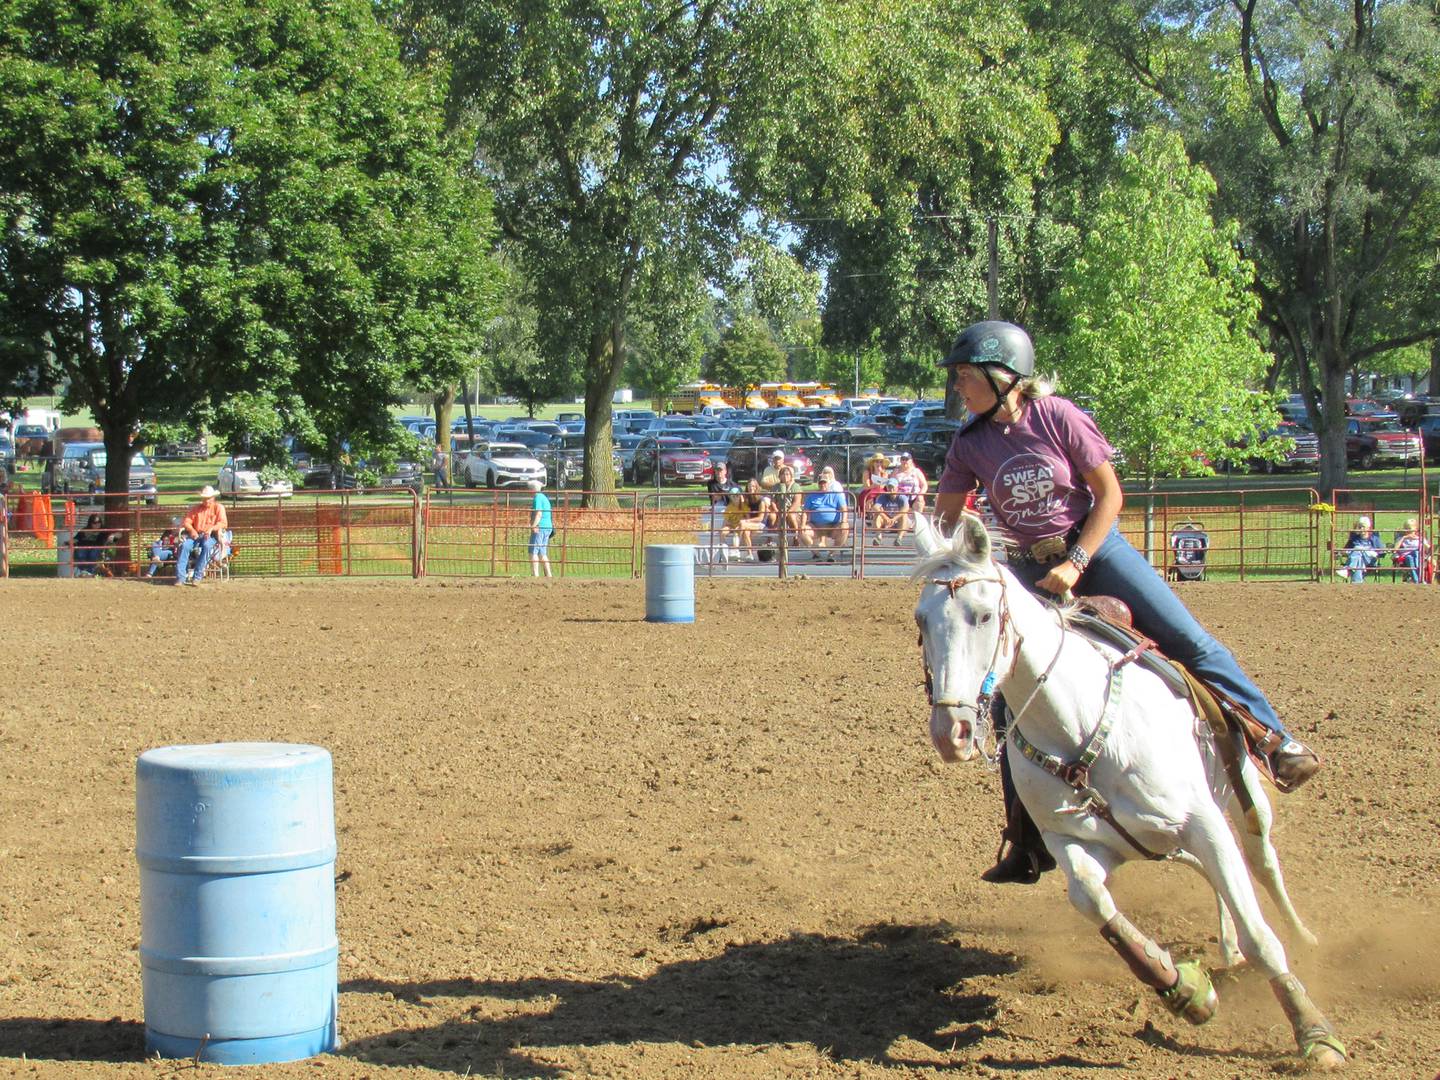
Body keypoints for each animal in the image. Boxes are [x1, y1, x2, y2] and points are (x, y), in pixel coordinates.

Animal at [910, 518, 1347, 1077]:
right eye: (921, 620)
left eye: (984, 614)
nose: (952, 732)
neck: (1078, 726)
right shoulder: (1074, 842)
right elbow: (1093, 900)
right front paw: (1184, 990)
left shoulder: (1202, 822)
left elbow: (1262, 936)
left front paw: (1314, 1033)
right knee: (1217, 878)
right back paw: (1226, 951)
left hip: (1242, 798)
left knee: (1261, 864)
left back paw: (1302, 936)